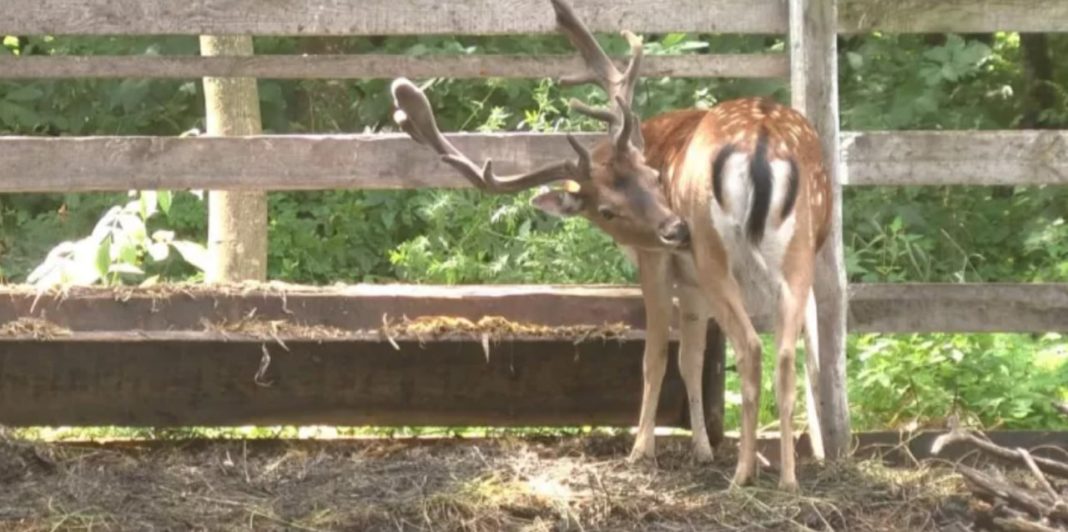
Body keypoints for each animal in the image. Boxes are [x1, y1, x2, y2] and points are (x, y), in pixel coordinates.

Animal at [389, 0, 832, 491]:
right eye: (607, 210)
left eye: (655, 177)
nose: (676, 230)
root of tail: (760, 142)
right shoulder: (691, 282)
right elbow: (692, 359)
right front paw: (701, 449)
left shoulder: (655, 261)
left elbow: (656, 356)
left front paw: (641, 450)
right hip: (800, 251)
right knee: (789, 355)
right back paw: (789, 478)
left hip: (716, 255)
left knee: (753, 349)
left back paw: (743, 474)